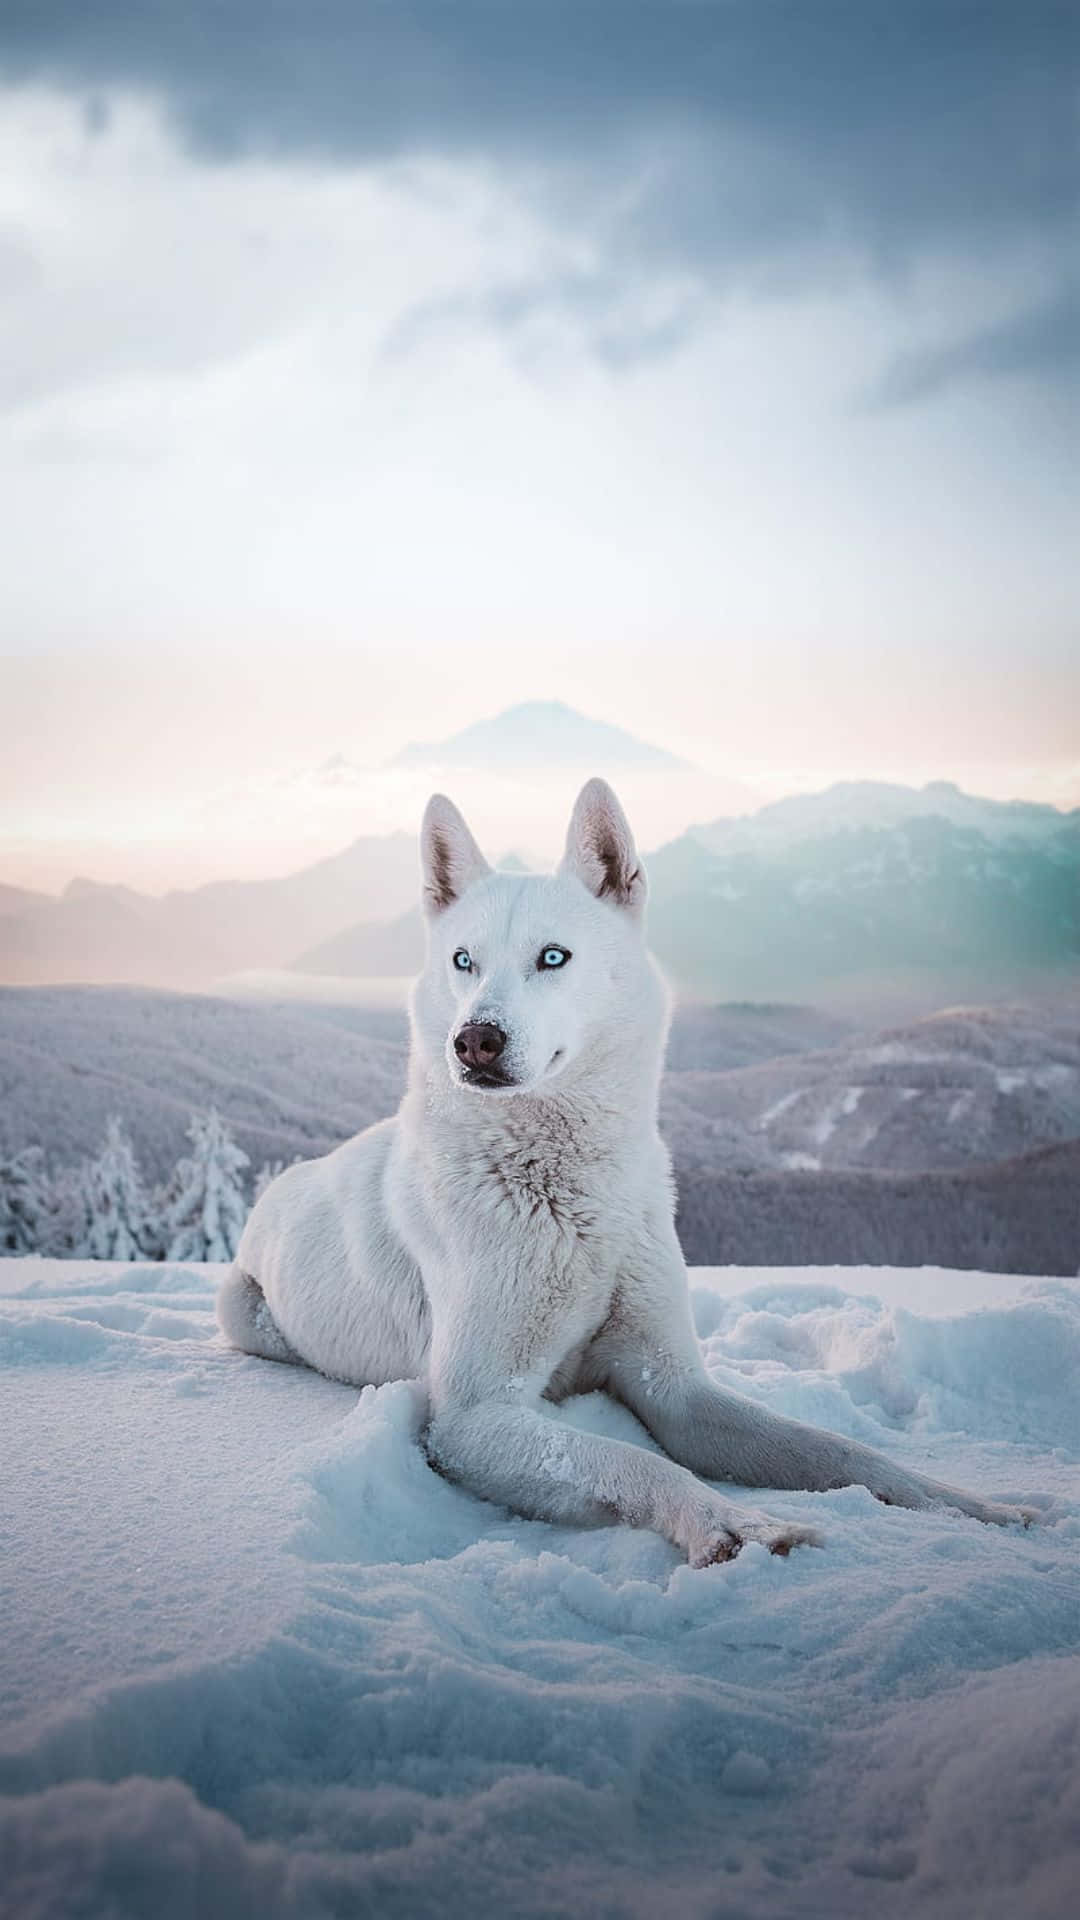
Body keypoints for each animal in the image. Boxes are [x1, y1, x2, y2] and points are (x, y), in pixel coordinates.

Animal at [219, 779, 1035, 1563]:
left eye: (553, 957)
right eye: (463, 961)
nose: (474, 1040)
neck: (572, 1197)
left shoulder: (674, 1386)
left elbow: (842, 1452)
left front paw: (977, 1507)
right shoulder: (476, 1417)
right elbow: (637, 1462)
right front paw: (736, 1525)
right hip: (245, 1313)